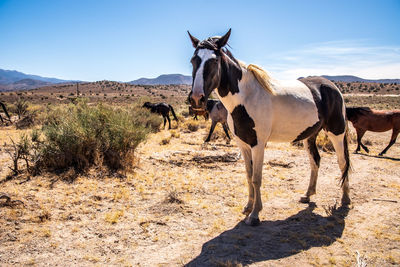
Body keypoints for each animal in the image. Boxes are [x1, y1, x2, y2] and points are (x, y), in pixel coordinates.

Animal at [188, 28, 350, 226]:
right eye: (193, 60)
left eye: (214, 60)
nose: (197, 98)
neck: (246, 98)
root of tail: (333, 86)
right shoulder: (243, 144)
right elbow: (249, 176)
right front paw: (248, 207)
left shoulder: (258, 144)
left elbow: (257, 178)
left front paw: (255, 214)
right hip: (309, 136)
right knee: (315, 161)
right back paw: (308, 195)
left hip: (337, 133)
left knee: (343, 163)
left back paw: (345, 199)